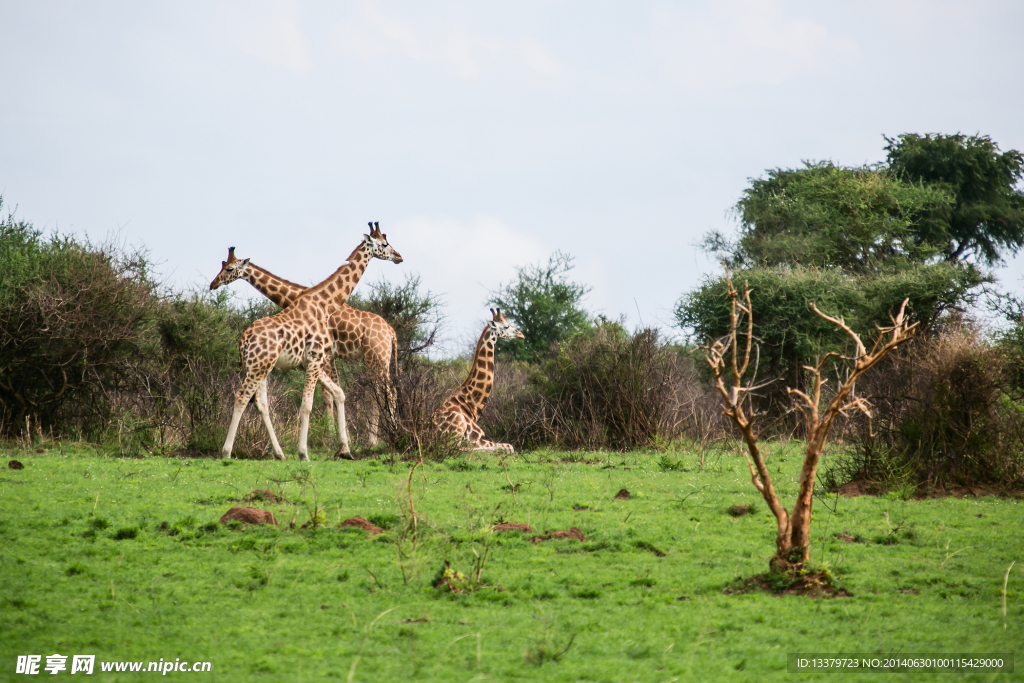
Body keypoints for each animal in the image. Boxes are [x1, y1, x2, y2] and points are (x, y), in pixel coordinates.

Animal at [434, 311, 524, 454]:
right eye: (506, 326)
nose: (521, 334)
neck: (471, 403)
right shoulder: (476, 437)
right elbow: (509, 447)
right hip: (457, 431)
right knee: (458, 449)